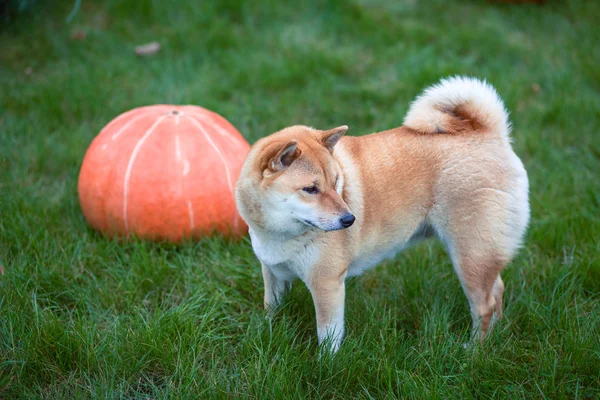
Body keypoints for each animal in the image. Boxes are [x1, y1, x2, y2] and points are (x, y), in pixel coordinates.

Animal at [234, 77, 528, 354]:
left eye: (336, 182)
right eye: (310, 189)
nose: (349, 220)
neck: (279, 234)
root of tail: (490, 133)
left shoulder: (326, 283)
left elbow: (328, 336)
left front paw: (326, 365)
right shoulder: (273, 273)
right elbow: (271, 311)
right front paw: (267, 336)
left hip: (470, 256)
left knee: (484, 306)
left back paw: (475, 351)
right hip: (481, 255)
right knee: (497, 290)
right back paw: (497, 335)